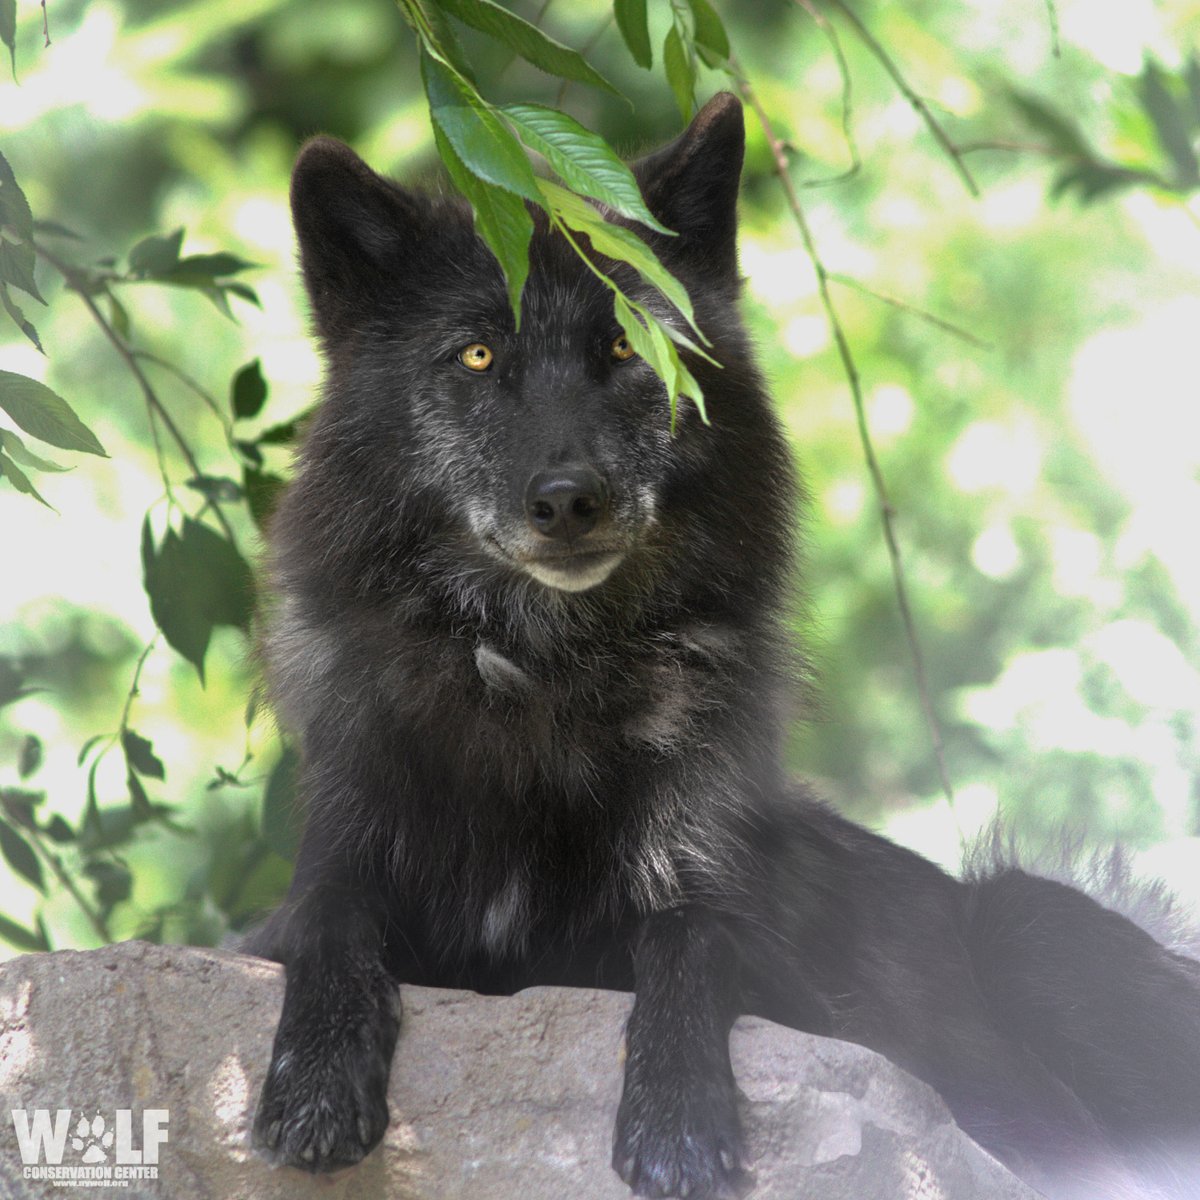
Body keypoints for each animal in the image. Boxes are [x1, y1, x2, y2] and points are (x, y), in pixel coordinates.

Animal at [244, 92, 1200, 1199]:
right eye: (477, 356)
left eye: (625, 351)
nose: (567, 501)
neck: (545, 688)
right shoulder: (322, 878)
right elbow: (327, 920)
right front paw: (315, 1081)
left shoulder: (779, 970)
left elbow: (689, 937)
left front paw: (678, 1119)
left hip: (1029, 926)